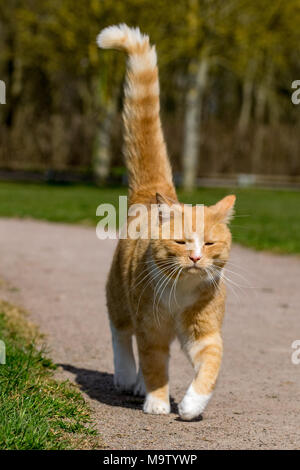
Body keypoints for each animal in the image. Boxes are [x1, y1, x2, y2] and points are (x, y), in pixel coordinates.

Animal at [97, 23, 236, 420]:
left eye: (209, 243)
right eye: (181, 242)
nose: (196, 258)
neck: (182, 293)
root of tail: (155, 192)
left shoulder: (204, 333)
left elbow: (211, 365)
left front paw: (190, 405)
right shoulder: (151, 329)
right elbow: (154, 363)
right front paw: (157, 401)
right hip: (119, 294)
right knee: (120, 333)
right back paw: (128, 378)